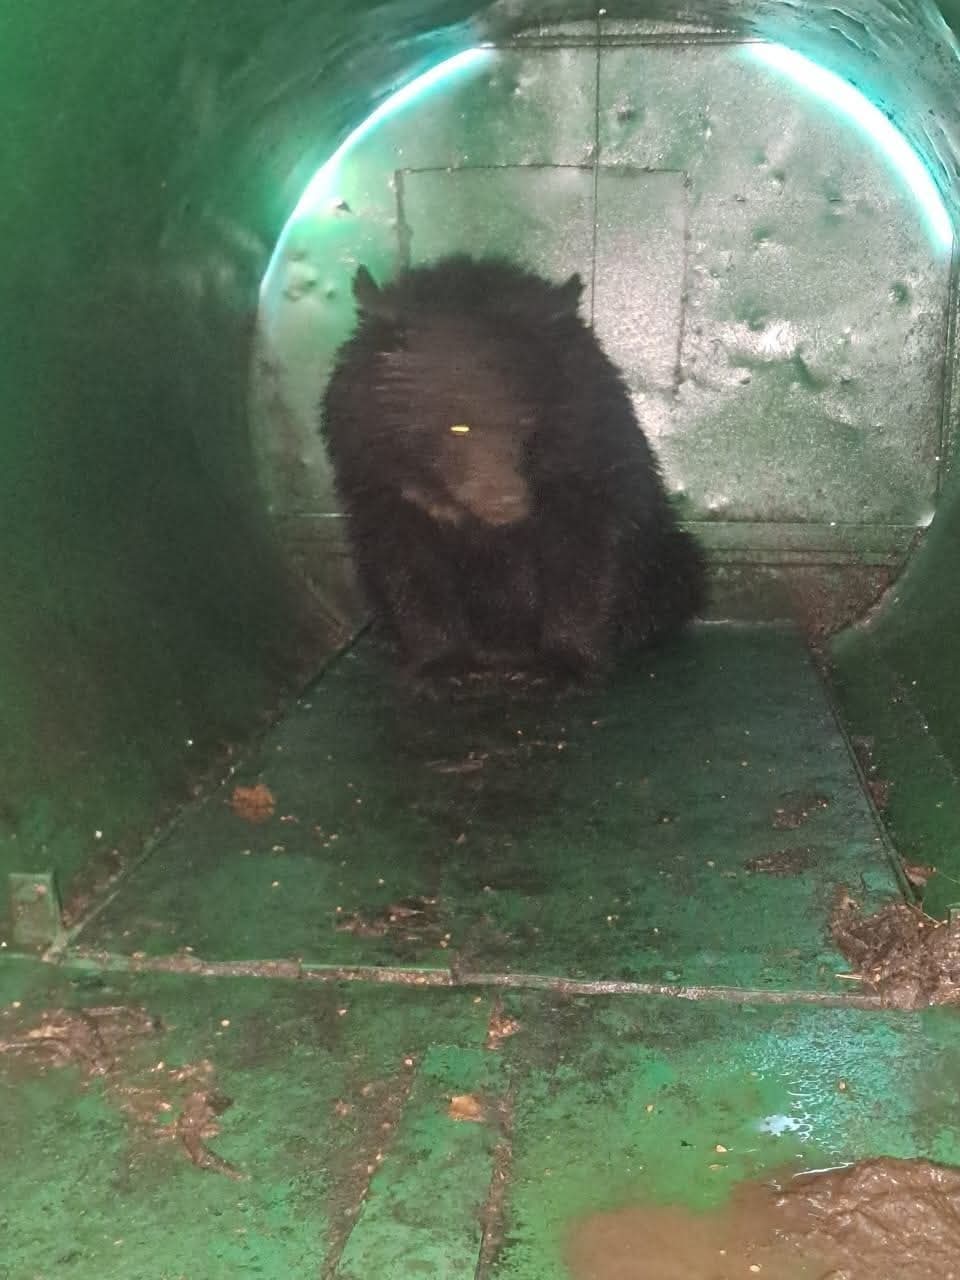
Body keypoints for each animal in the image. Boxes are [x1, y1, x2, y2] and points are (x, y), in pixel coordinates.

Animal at [319, 254, 706, 682]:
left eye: (525, 419)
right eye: (457, 425)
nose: (507, 501)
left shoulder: (584, 451)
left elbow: (585, 549)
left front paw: (562, 664)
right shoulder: (377, 473)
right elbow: (407, 564)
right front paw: (442, 664)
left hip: (666, 554)